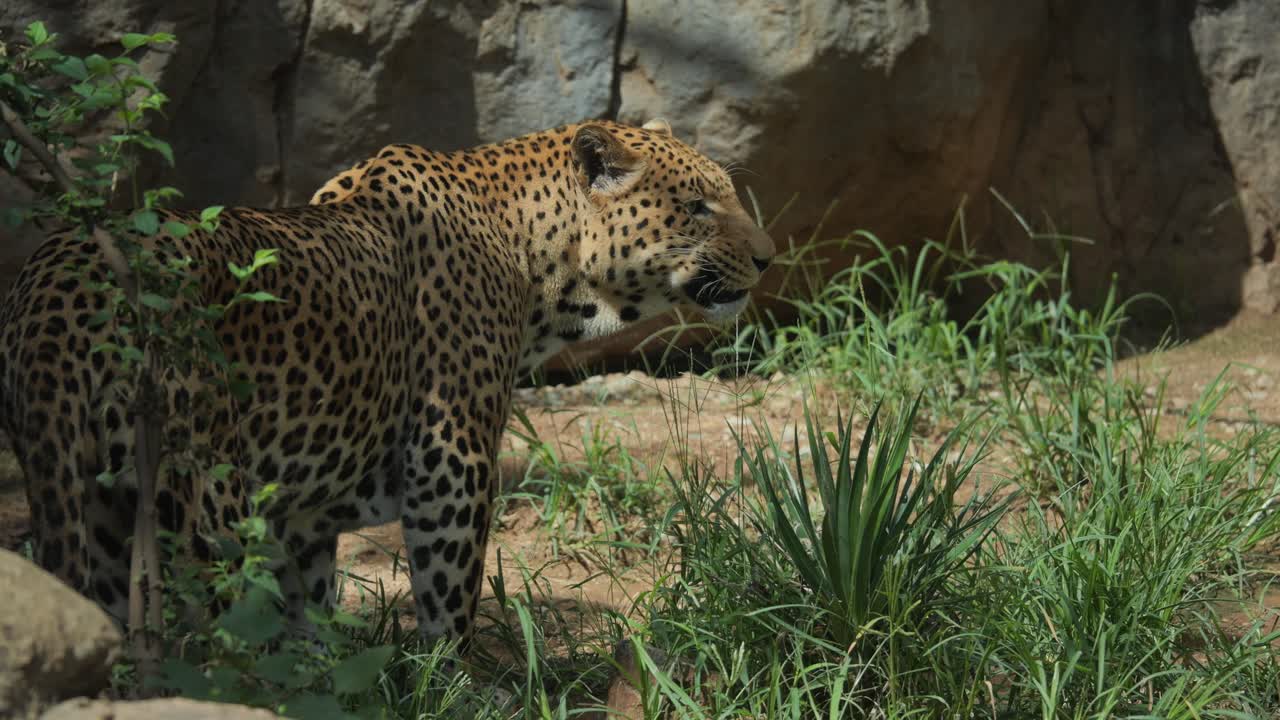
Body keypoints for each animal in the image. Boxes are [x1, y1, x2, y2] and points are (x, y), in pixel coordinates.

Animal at [0, 118, 775, 646]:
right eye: (699, 208)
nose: (769, 257)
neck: (545, 267)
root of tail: (60, 280)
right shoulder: (450, 459)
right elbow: (448, 597)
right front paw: (450, 684)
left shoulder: (302, 514)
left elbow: (308, 615)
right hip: (202, 509)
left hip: (99, 506)